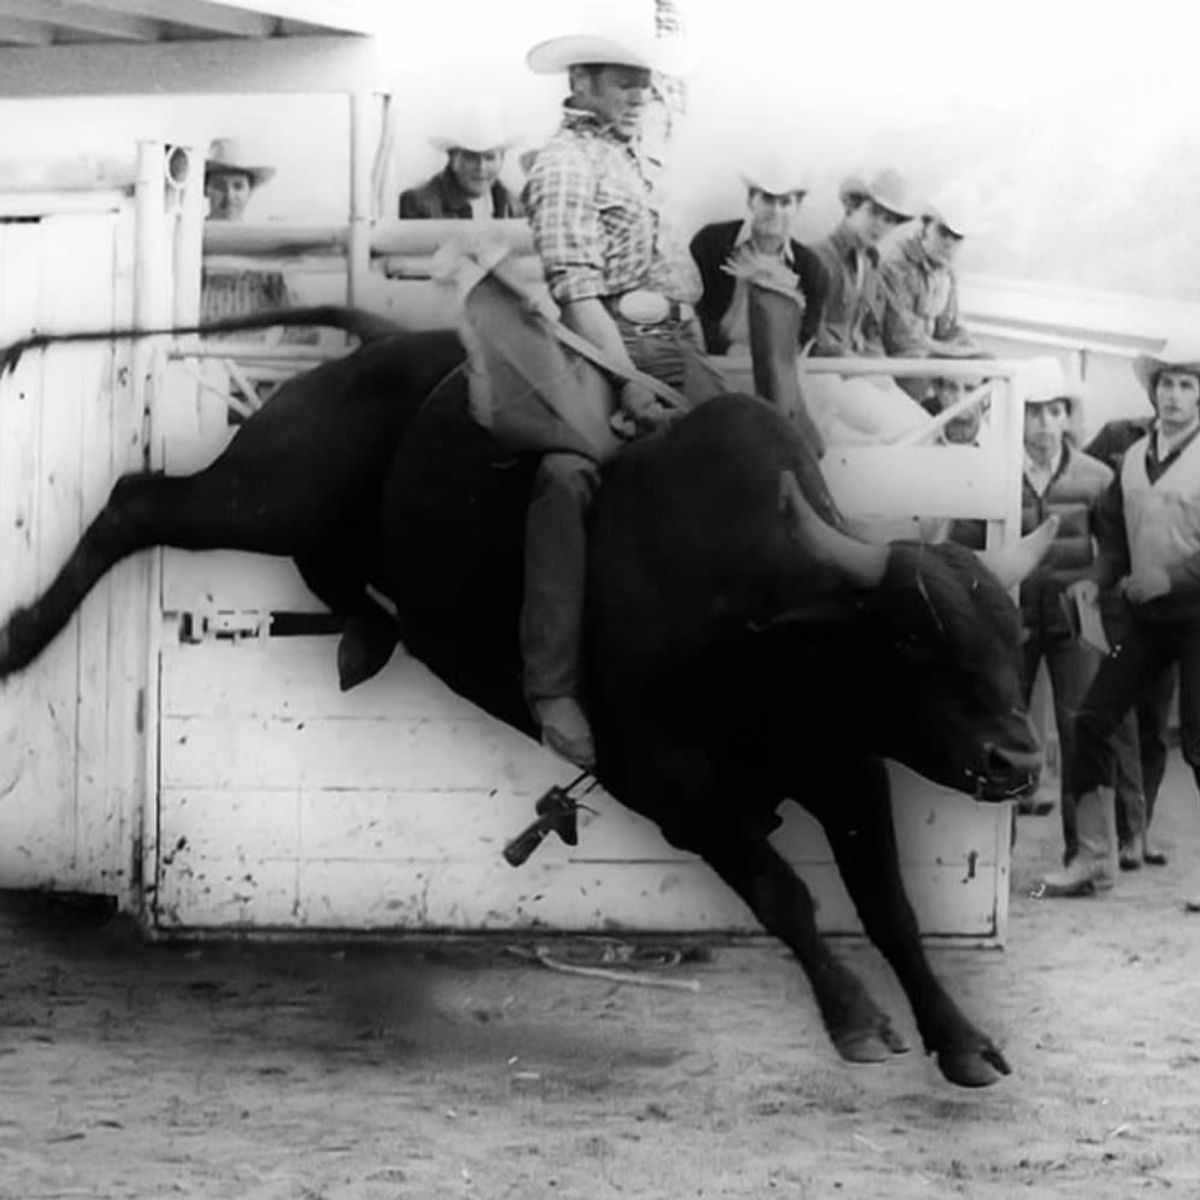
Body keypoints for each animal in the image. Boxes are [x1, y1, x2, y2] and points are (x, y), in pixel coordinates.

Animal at [0, 297, 1056, 1089]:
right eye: (913, 639)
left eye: (1016, 639)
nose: (1017, 760)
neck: (761, 622)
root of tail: (381, 344)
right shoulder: (675, 794)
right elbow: (786, 894)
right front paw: (855, 1019)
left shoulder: (847, 769)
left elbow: (889, 907)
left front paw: (962, 1040)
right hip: (271, 489)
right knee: (137, 502)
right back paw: (21, 638)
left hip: (318, 522)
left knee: (325, 570)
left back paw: (370, 638)